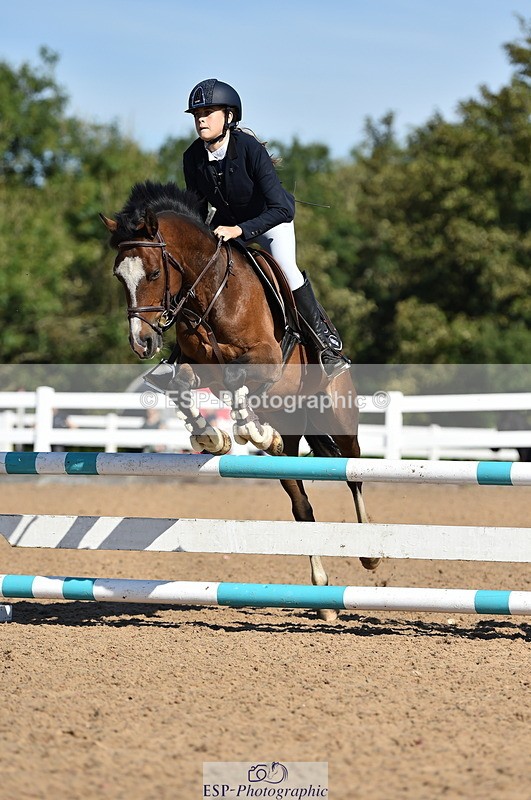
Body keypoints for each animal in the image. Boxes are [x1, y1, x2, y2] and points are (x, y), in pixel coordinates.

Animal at [100, 181, 379, 620]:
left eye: (155, 272)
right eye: (118, 276)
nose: (141, 343)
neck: (209, 291)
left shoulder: (266, 356)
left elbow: (237, 378)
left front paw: (249, 430)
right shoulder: (199, 368)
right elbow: (184, 383)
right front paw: (212, 436)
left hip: (338, 417)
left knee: (353, 473)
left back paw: (370, 552)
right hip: (293, 439)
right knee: (302, 506)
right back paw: (322, 594)